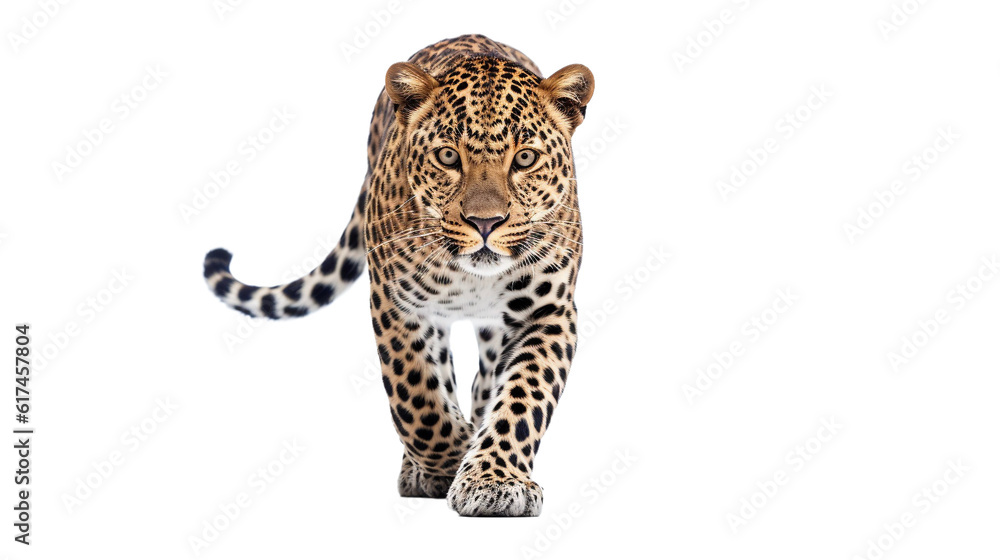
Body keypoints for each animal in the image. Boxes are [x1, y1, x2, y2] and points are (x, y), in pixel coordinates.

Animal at [202, 34, 593, 517]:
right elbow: (418, 397)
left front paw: (493, 478)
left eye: (524, 158)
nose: (485, 223)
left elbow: (524, 398)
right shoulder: (396, 303)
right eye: (448, 156)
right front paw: (449, 460)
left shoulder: (547, 312)